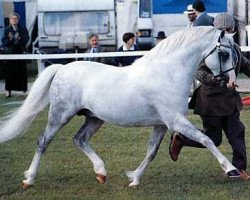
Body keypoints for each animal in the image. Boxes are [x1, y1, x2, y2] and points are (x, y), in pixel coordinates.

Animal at [0, 27, 238, 189]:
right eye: (224, 54)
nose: (230, 82)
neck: (168, 73)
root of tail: (61, 68)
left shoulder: (161, 125)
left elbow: (151, 152)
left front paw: (134, 179)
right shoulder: (175, 121)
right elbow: (206, 139)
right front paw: (231, 170)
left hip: (94, 118)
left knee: (79, 139)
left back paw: (101, 172)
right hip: (60, 115)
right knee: (43, 141)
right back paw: (29, 179)